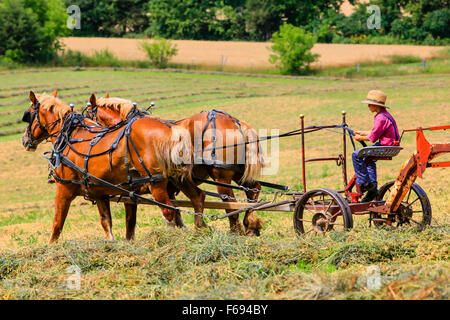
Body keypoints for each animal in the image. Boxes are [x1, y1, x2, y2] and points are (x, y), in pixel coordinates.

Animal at [21, 90, 193, 242]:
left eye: (28, 116)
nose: (24, 140)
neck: (70, 136)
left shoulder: (64, 189)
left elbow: (57, 226)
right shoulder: (102, 193)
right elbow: (109, 224)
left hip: (157, 185)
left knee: (169, 212)